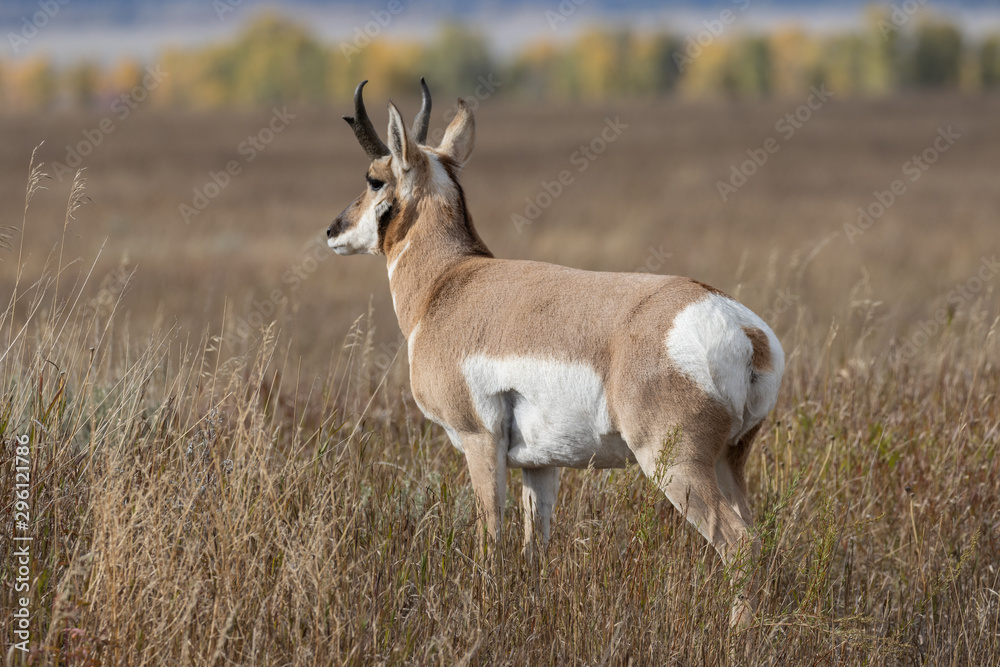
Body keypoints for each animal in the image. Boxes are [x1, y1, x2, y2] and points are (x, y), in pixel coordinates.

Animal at [326, 79, 784, 627]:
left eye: (374, 179)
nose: (333, 231)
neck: (449, 282)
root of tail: (742, 327)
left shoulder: (479, 442)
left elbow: (491, 538)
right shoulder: (539, 466)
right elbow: (535, 550)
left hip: (676, 466)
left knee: (739, 547)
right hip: (728, 463)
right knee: (758, 538)